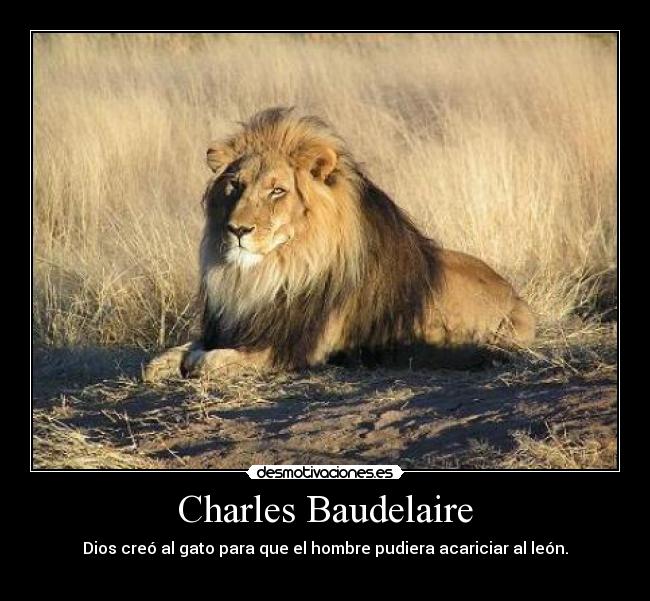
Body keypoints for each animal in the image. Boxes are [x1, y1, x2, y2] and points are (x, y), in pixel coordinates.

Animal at [144, 107, 535, 382]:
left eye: (277, 191)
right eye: (235, 185)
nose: (237, 229)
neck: (271, 272)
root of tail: (518, 298)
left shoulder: (297, 348)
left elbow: (210, 360)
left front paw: (198, 361)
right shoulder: (236, 325)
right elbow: (167, 356)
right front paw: (165, 362)